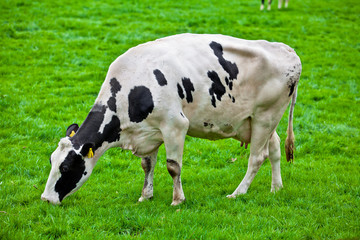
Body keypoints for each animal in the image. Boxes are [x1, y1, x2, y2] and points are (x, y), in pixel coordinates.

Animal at [41, 33, 300, 206]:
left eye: (66, 166)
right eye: (52, 160)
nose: (45, 198)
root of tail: (286, 50)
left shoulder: (175, 125)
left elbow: (173, 167)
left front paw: (178, 200)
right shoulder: (148, 132)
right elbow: (147, 165)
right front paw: (145, 196)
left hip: (265, 116)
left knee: (257, 157)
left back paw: (238, 192)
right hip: (257, 121)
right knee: (275, 148)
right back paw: (276, 188)